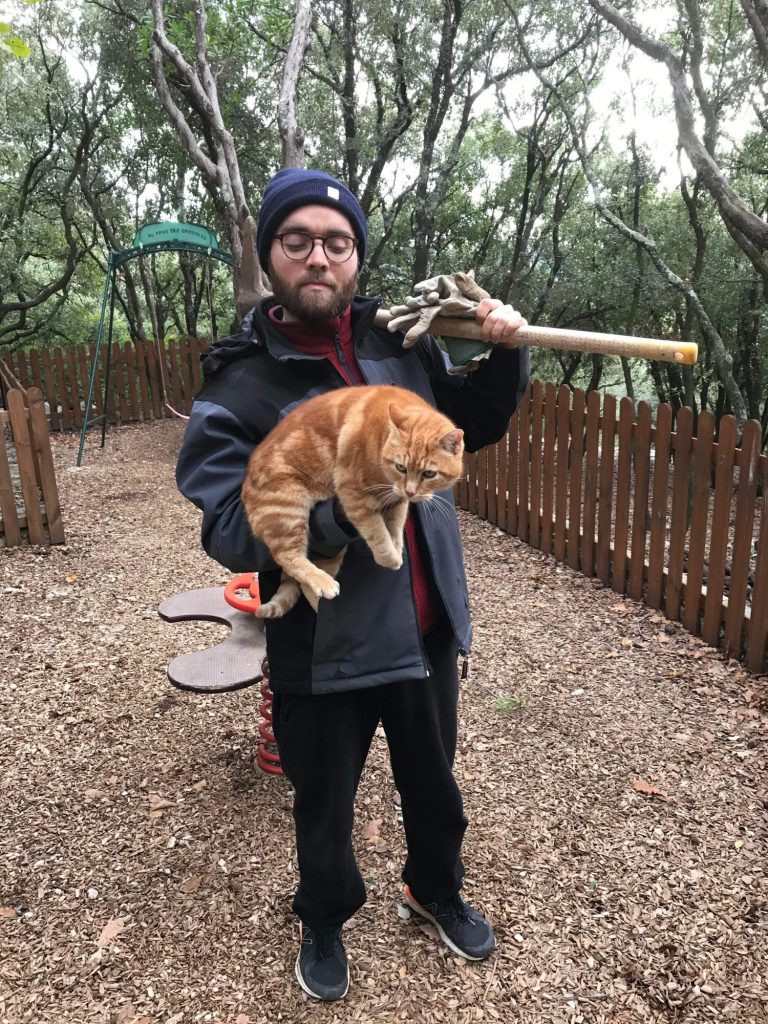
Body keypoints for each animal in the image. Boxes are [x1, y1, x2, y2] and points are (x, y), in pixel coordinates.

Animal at [241, 384, 465, 618]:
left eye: (429, 474)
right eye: (401, 467)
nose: (411, 491)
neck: (381, 440)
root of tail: (246, 486)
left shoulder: (396, 499)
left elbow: (395, 528)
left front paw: (396, 548)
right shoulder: (354, 493)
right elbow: (379, 535)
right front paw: (390, 559)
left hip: (332, 550)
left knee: (303, 582)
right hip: (287, 510)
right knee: (288, 557)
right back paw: (323, 584)